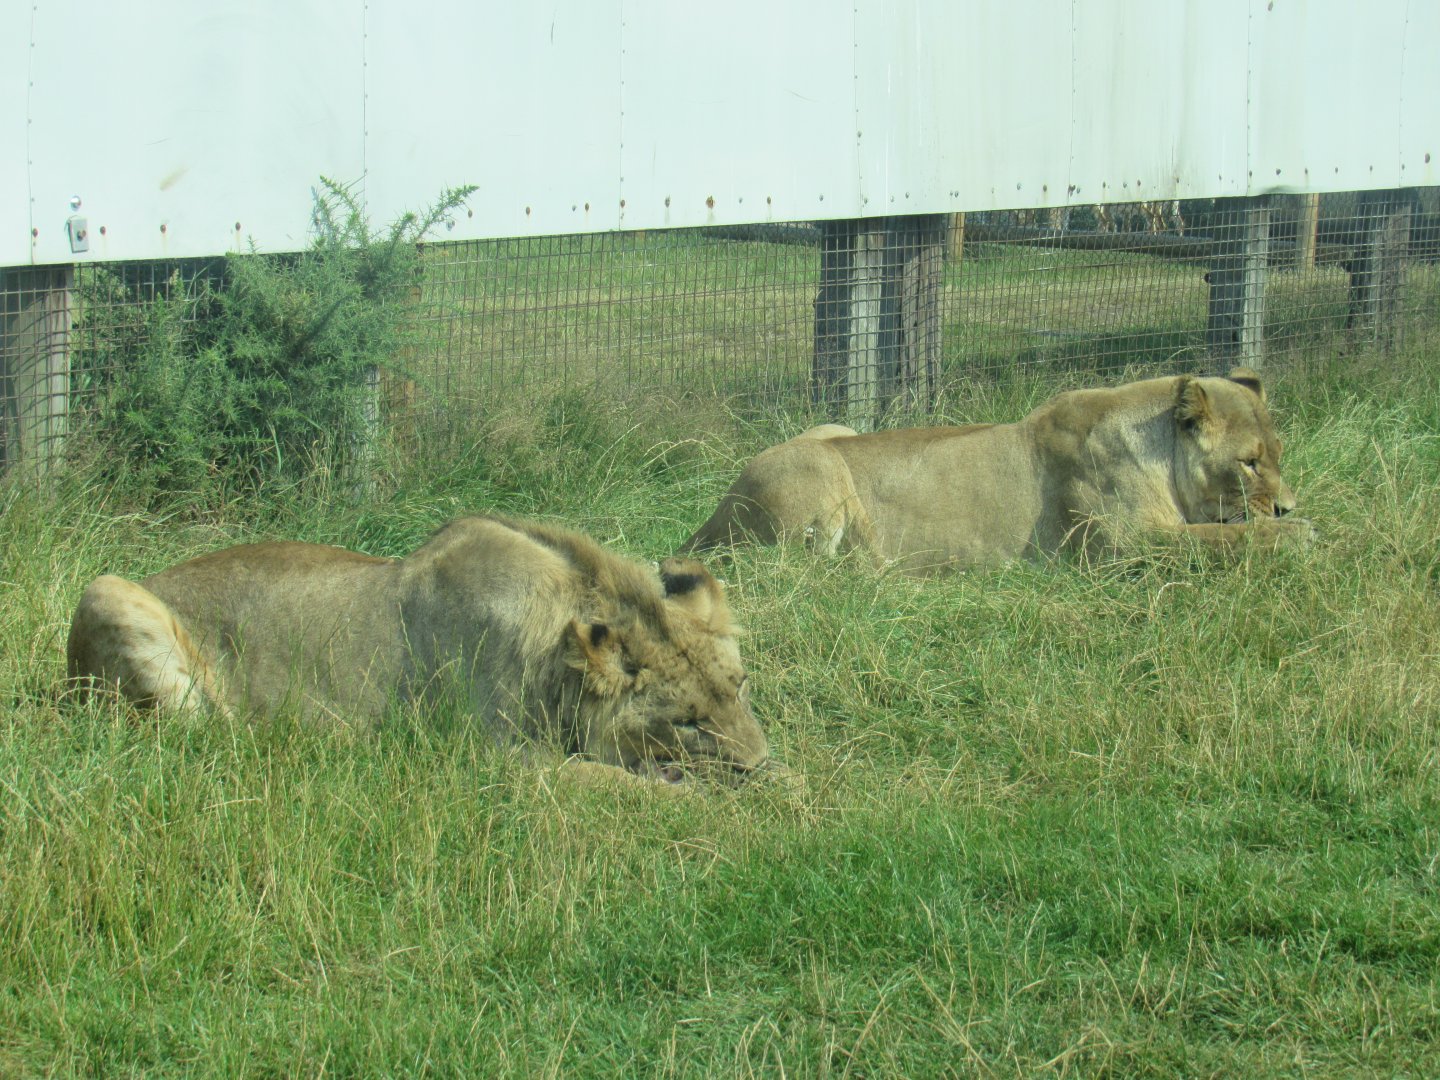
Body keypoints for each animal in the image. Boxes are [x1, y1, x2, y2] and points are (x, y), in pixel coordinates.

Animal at [67, 515, 768, 786]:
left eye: (738, 687)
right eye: (686, 723)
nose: (760, 769)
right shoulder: (501, 758)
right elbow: (617, 784)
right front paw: (689, 793)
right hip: (105, 590)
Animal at [684, 368, 1311, 572]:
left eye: (1280, 454)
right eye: (1249, 463)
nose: (1287, 504)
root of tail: (708, 522)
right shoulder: (1128, 545)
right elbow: (1225, 538)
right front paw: (1296, 530)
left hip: (829, 429)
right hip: (818, 472)